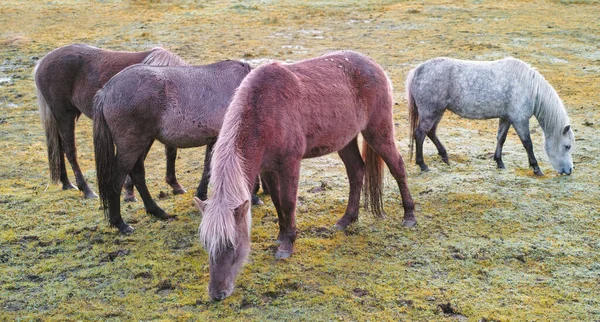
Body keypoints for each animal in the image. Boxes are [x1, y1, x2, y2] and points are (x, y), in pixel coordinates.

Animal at [32, 42, 186, 199]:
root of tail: (42, 63)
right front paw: (129, 192)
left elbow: (171, 153)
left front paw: (175, 185)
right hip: (64, 114)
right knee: (69, 150)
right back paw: (87, 190)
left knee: (59, 146)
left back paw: (66, 183)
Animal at [92, 60, 252, 233]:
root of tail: (107, 90)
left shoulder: (214, 140)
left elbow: (208, 169)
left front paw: (202, 196)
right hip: (131, 146)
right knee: (117, 179)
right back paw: (120, 223)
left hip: (141, 144)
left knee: (137, 175)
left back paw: (157, 211)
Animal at [197, 50, 418, 300]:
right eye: (206, 244)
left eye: (232, 245)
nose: (217, 294)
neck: (264, 109)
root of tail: (373, 65)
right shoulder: (267, 168)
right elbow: (277, 202)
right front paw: (282, 234)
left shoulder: (290, 163)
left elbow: (288, 202)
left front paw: (287, 244)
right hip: (346, 140)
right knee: (356, 172)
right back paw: (347, 219)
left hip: (377, 131)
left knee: (397, 166)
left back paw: (409, 215)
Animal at [406, 56, 576, 175]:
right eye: (567, 146)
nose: (569, 171)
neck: (528, 87)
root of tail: (417, 71)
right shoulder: (519, 120)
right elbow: (528, 143)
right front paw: (536, 169)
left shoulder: (506, 118)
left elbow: (501, 138)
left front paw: (499, 162)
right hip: (430, 112)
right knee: (420, 134)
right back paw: (423, 165)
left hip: (438, 112)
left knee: (431, 132)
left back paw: (445, 157)